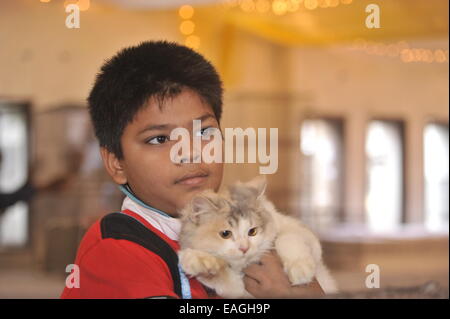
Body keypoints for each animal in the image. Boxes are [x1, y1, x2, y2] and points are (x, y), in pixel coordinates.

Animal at [178, 176, 336, 298]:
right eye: (225, 234)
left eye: (252, 231)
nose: (244, 248)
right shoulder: (239, 290)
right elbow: (222, 276)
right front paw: (199, 262)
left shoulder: (303, 234)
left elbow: (287, 239)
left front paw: (300, 270)